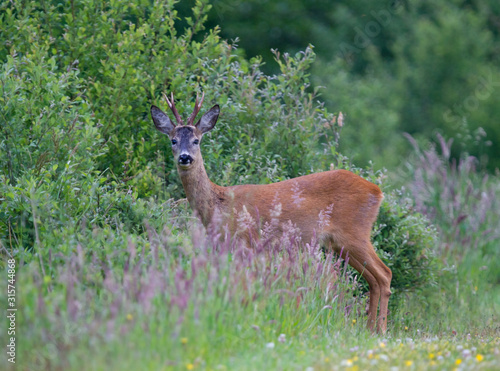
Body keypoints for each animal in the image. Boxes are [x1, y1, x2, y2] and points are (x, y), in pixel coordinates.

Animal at [150, 93, 392, 334]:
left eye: (196, 140)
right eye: (173, 140)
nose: (184, 158)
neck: (218, 205)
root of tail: (377, 191)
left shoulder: (247, 242)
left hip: (354, 233)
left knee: (384, 273)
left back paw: (380, 329)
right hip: (340, 244)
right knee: (373, 279)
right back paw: (369, 329)